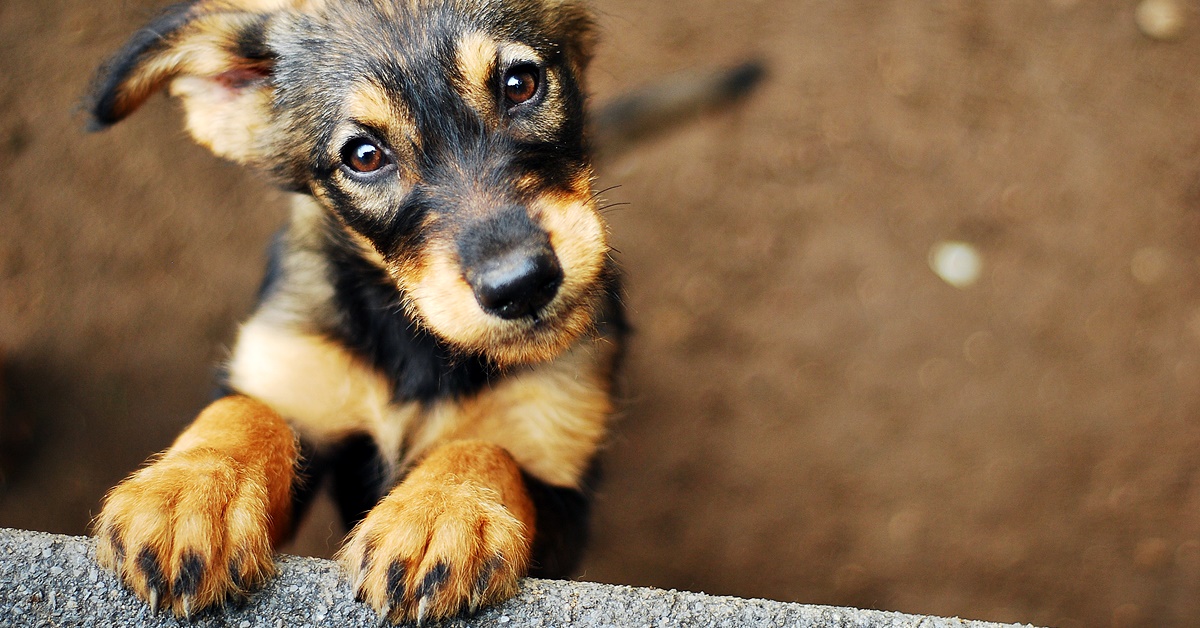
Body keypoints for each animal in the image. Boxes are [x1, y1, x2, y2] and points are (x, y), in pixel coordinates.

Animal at [84, 0, 758, 619]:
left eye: (520, 83)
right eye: (363, 155)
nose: (521, 284)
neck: (422, 346)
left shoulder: (562, 489)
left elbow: (485, 449)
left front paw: (440, 514)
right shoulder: (294, 365)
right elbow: (245, 409)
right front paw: (187, 493)